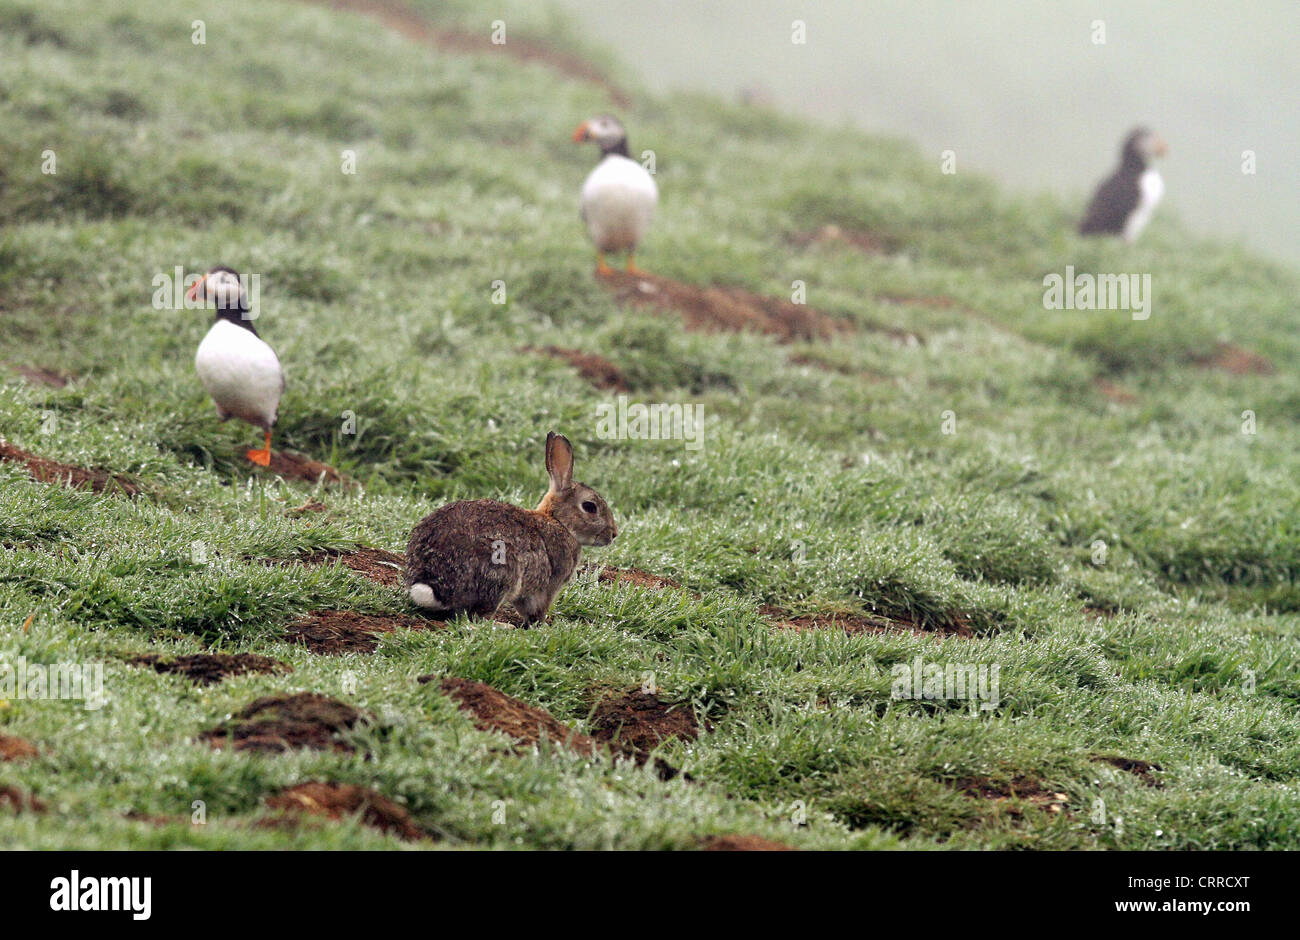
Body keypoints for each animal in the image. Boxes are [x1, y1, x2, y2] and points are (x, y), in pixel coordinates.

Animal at [405, 432, 617, 625]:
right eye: (590, 507)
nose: (613, 534)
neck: (559, 522)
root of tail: (434, 583)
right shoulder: (548, 586)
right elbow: (537, 608)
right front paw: (542, 624)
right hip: (501, 572)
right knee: (476, 618)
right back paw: (504, 626)